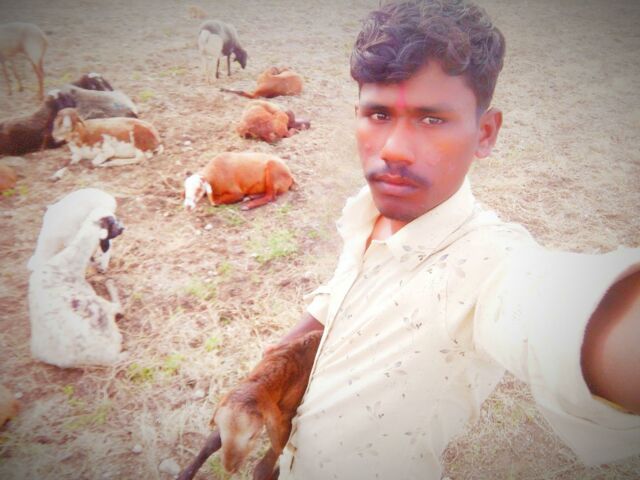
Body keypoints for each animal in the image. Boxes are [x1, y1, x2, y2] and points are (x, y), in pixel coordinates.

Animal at [28, 206, 126, 368]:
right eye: (113, 222)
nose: (124, 227)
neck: (68, 263)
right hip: (98, 307)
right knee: (118, 307)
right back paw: (109, 283)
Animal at [178, 330, 323, 480]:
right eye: (222, 429)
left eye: (252, 436)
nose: (229, 468)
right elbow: (212, 441)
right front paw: (186, 473)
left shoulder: (287, 416)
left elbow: (266, 464)